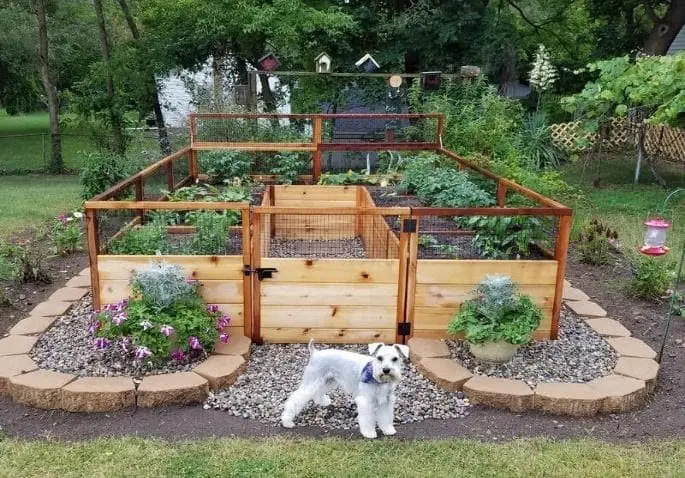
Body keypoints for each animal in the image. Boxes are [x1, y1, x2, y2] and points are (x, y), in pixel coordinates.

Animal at [280, 340, 408, 436]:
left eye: (395, 359)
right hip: (312, 382)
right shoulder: (365, 401)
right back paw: (287, 421)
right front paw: (369, 433)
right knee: (296, 399)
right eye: (379, 357)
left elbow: (386, 417)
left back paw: (323, 401)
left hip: (328, 381)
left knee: (317, 393)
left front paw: (388, 429)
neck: (378, 379)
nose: (386, 370)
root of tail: (315, 352)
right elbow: (367, 418)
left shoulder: (386, 401)